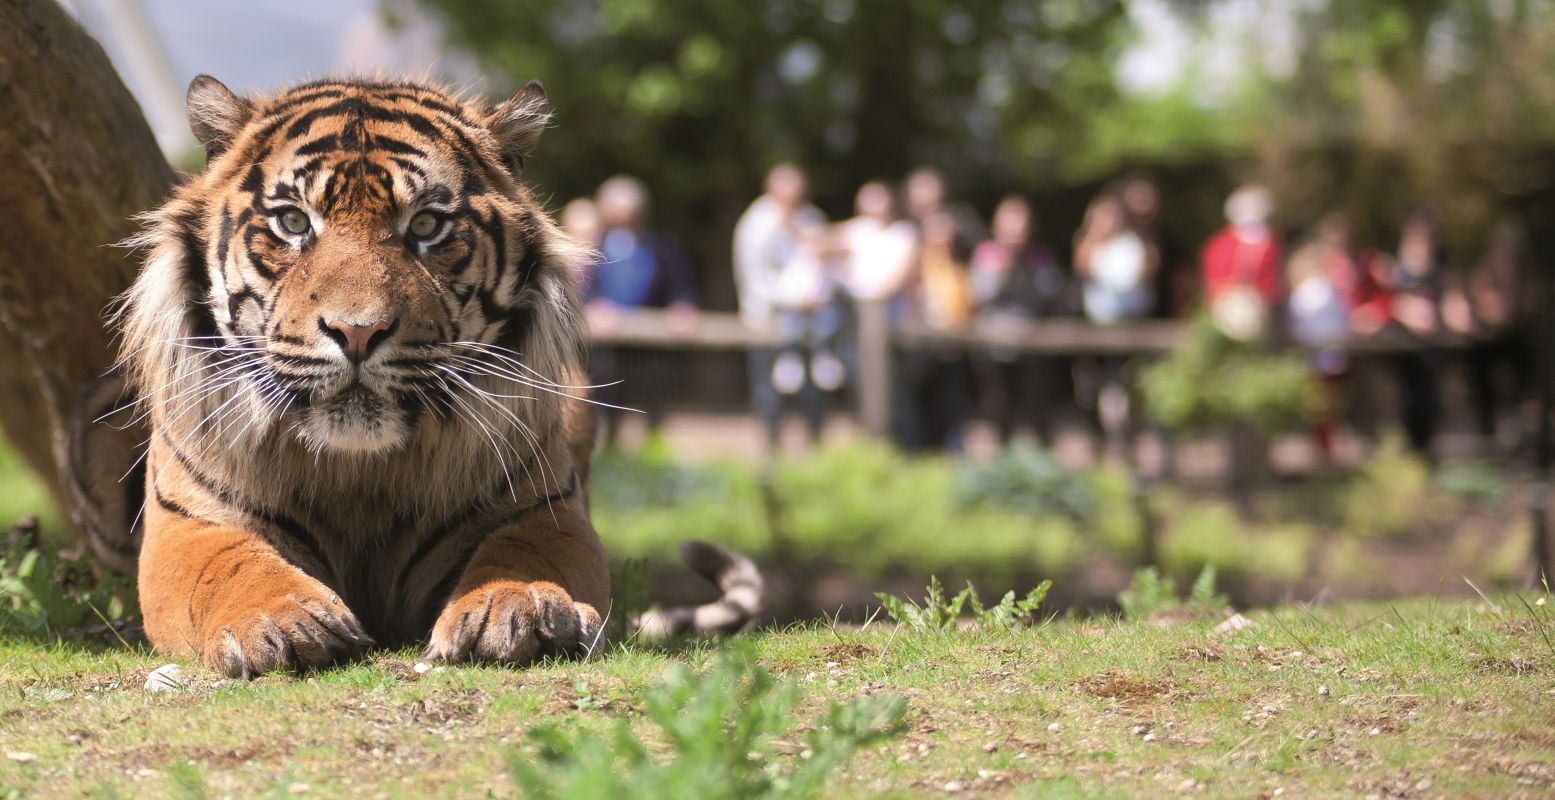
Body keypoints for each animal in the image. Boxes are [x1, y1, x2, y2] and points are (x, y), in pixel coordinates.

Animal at [83, 74, 758, 675]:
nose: (357, 332)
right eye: (294, 223)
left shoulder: (544, 508)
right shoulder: (191, 520)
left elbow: (526, 551)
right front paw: (283, 621)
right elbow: (226, 566)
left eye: (427, 226)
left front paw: (521, 605)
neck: (359, 475)